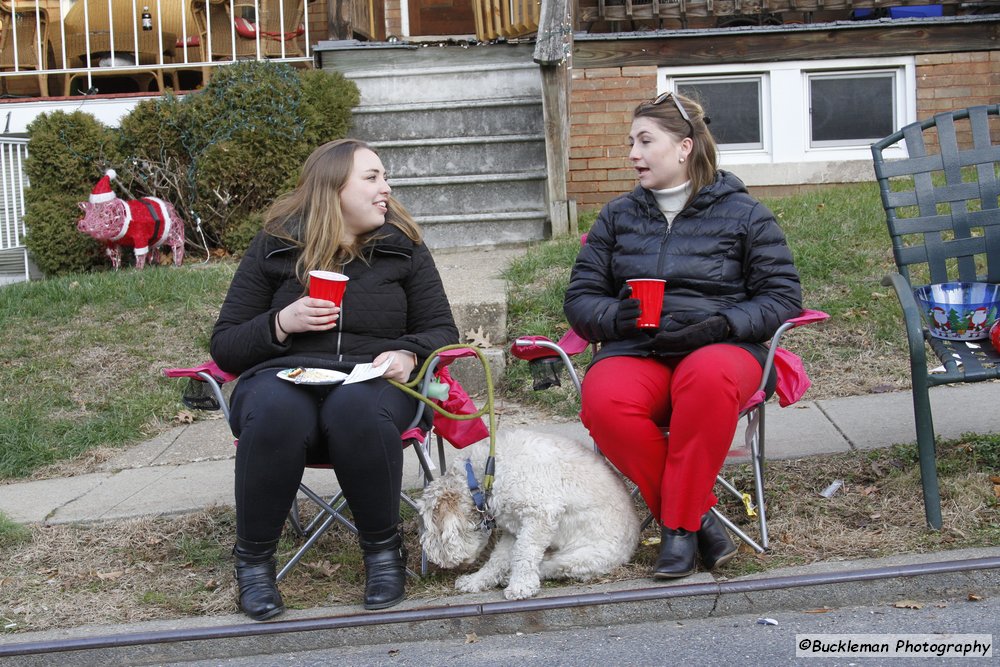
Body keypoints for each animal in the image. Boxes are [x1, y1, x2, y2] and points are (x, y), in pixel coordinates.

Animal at [414, 430, 640, 604]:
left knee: (551, 567)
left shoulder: (540, 516)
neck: (486, 476)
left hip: (582, 557)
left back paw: (512, 578)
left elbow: (524, 555)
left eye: (431, 529)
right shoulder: (514, 529)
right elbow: (499, 559)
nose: (432, 557)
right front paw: (476, 581)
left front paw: (521, 586)